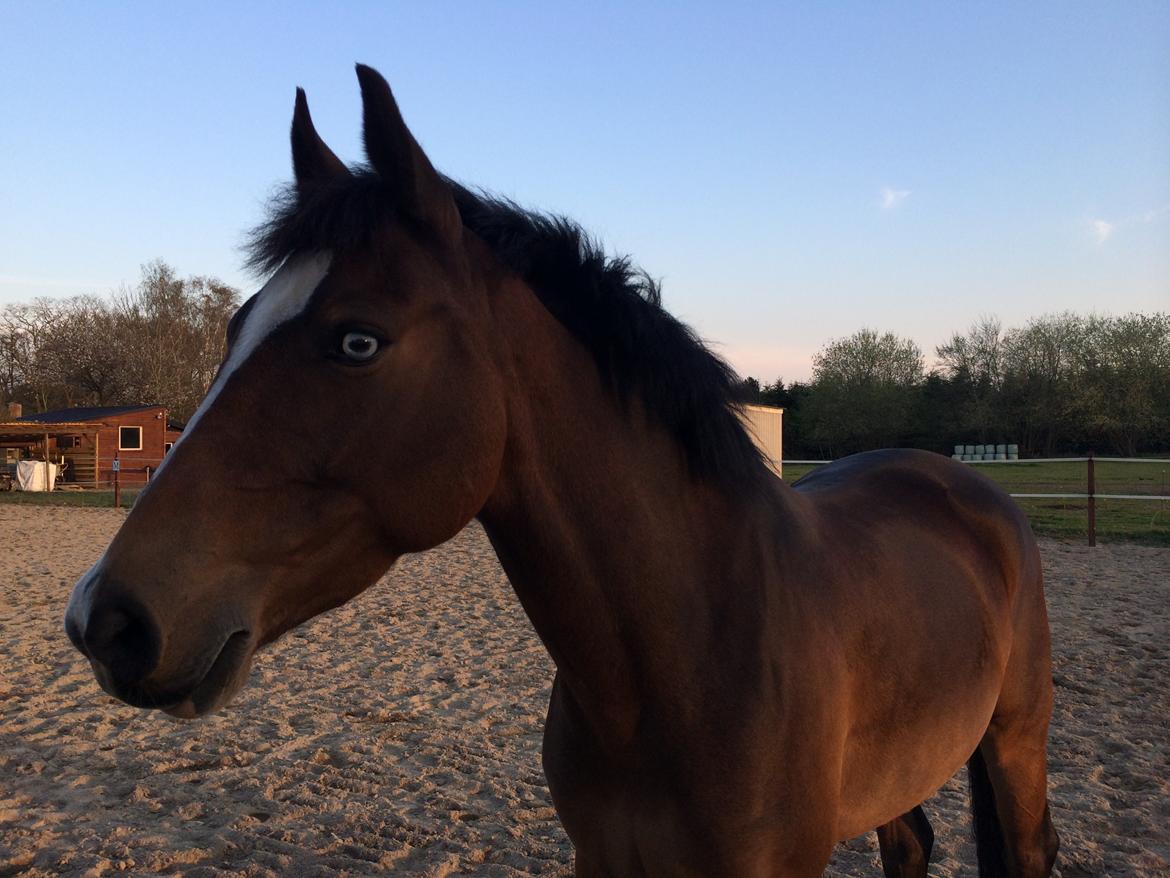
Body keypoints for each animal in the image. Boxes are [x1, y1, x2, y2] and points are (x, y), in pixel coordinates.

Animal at [65, 65, 1059, 877]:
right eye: (238, 326)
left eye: (357, 341)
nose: (102, 618)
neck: (691, 654)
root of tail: (962, 486)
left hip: (1015, 747)